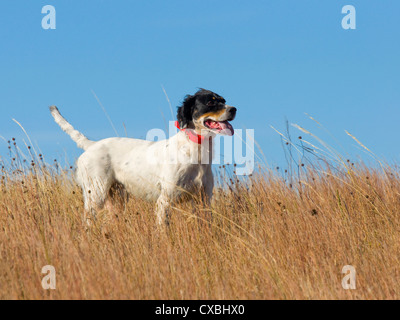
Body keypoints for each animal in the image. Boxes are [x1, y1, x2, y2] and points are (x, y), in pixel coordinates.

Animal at [50, 89, 238, 226]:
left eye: (223, 100)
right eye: (210, 102)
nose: (234, 109)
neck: (195, 150)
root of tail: (91, 145)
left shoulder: (203, 200)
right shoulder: (165, 200)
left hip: (116, 199)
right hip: (96, 194)